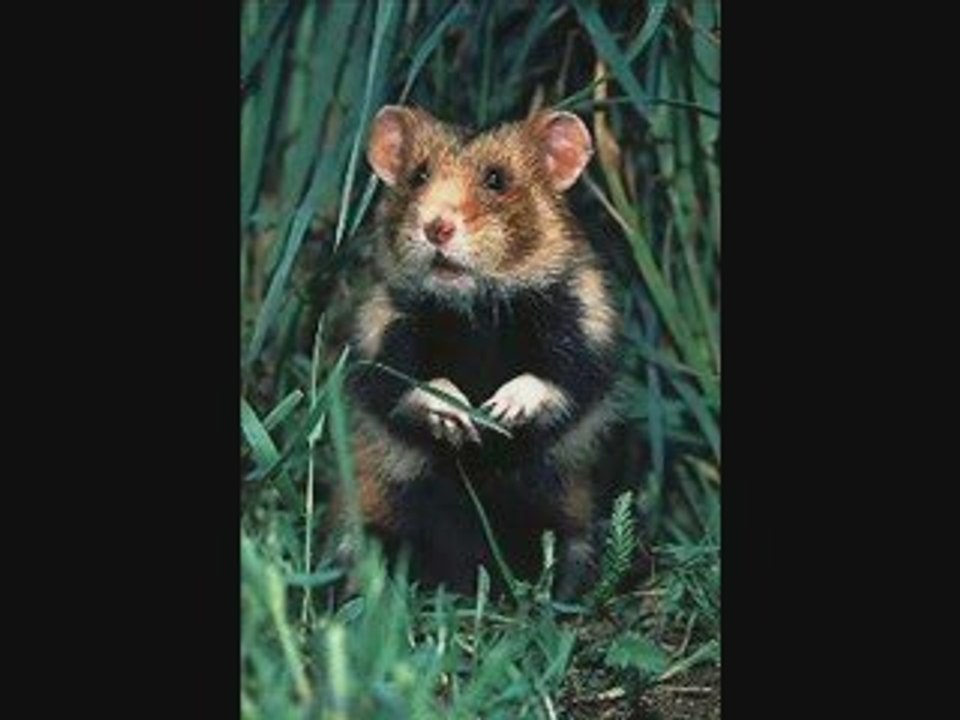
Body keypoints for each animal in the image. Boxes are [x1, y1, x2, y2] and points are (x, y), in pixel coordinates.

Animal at [335, 104, 621, 599]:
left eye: (496, 180)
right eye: (418, 176)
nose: (436, 227)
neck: (475, 312)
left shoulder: (584, 329)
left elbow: (558, 376)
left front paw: (500, 411)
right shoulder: (383, 333)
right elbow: (408, 383)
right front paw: (458, 416)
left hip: (568, 521)